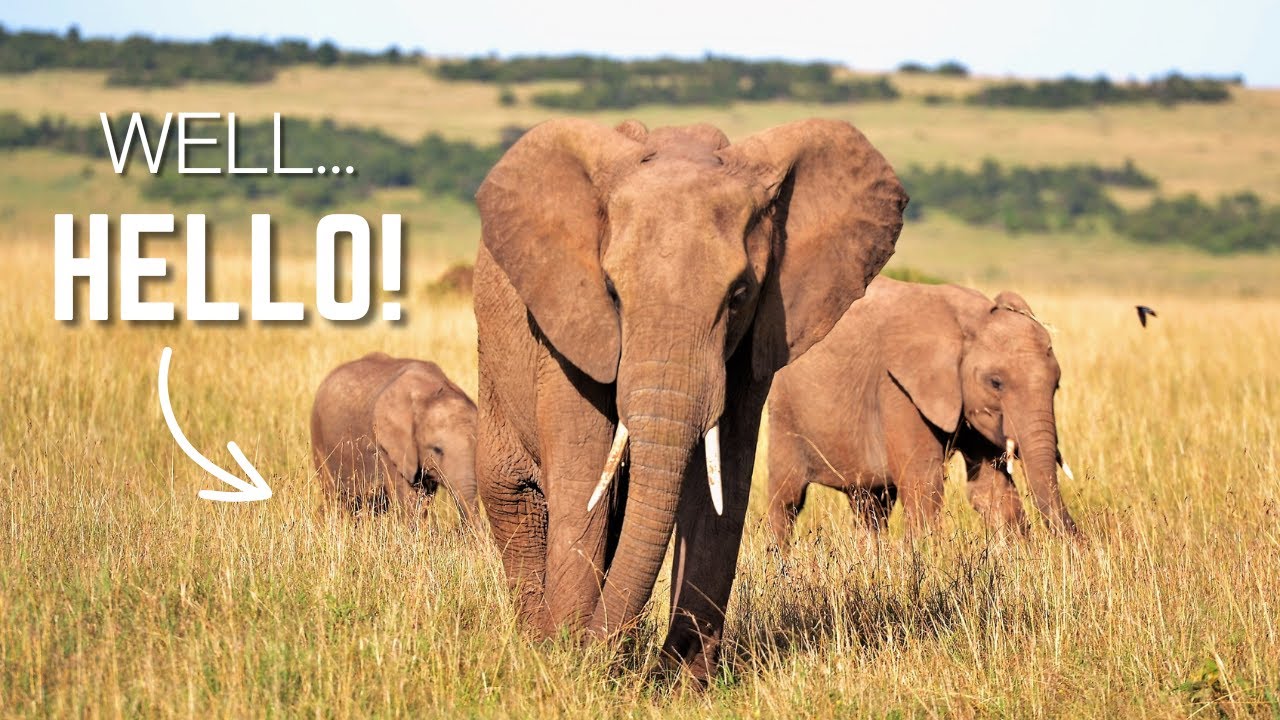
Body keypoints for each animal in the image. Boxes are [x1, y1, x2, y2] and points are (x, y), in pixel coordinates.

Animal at [310, 353, 480, 526]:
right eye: (437, 450)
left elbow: (424, 498)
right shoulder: (387, 447)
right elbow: (409, 497)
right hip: (318, 437)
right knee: (334, 497)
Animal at [472, 117, 907, 680]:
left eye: (739, 295)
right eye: (611, 291)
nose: (594, 652)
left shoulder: (754, 342)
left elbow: (722, 487)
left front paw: (681, 682)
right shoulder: (567, 326)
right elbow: (583, 476)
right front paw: (567, 662)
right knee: (515, 495)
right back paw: (536, 643)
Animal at [766, 277, 1079, 549]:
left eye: (1057, 385)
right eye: (996, 382)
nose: (1077, 542)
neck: (969, 319)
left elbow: (990, 489)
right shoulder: (897, 387)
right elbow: (924, 483)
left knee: (871, 504)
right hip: (784, 408)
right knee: (787, 499)